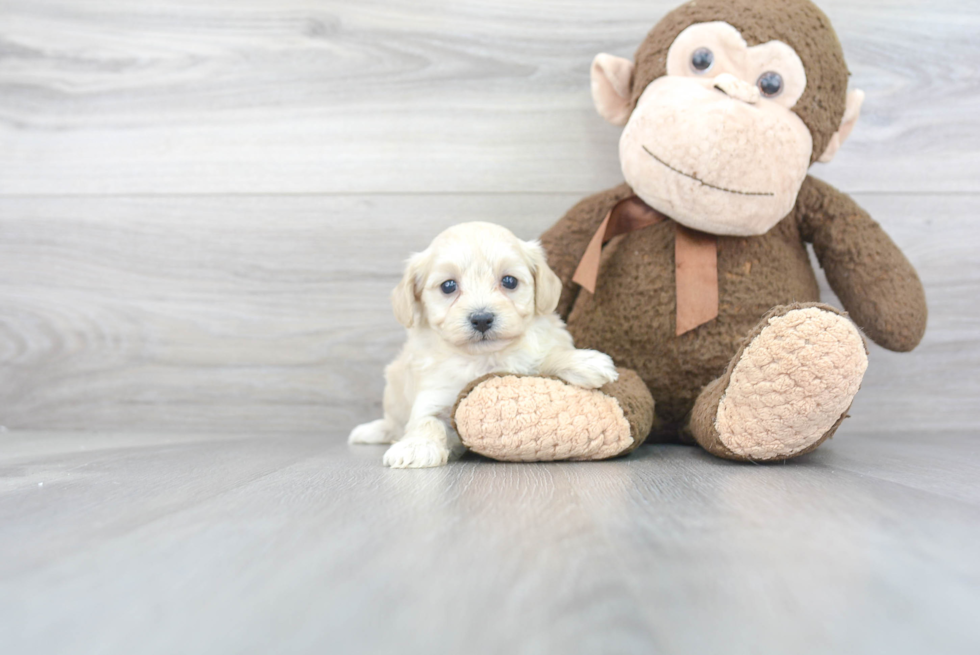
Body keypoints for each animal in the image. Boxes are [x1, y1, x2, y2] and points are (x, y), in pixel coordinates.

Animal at [348, 223, 616, 468]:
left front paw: (584, 362)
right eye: (448, 286)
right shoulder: (433, 394)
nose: (482, 319)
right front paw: (416, 446)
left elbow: (545, 359)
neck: (483, 358)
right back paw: (372, 430)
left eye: (509, 281)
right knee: (392, 422)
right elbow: (426, 420)